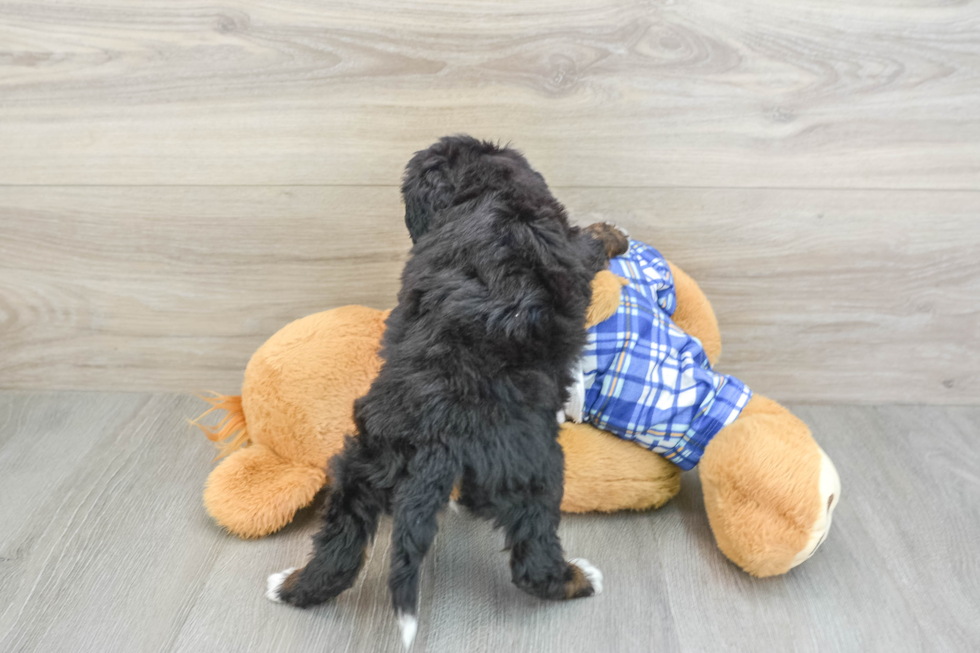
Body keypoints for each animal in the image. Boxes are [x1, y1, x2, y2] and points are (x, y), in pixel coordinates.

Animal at [266, 135, 628, 644]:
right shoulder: (567, 244)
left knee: (340, 546)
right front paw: (615, 232)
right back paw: (581, 579)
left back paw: (290, 586)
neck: (479, 192)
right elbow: (591, 240)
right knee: (532, 559)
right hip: (533, 471)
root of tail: (438, 432)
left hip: (361, 465)